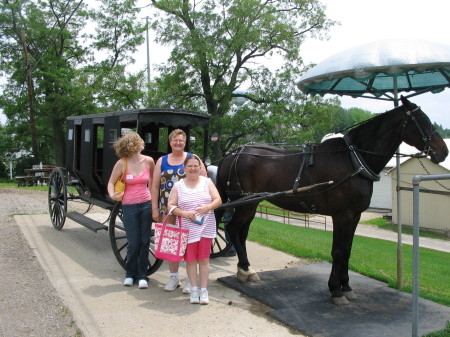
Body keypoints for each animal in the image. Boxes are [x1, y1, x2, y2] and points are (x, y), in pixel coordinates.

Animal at [216, 95, 448, 304]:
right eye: (422, 121)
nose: (443, 152)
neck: (352, 159)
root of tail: (232, 154)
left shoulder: (354, 216)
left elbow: (347, 251)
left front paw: (345, 287)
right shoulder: (341, 215)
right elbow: (338, 251)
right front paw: (336, 290)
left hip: (251, 204)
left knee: (241, 233)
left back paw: (246, 269)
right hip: (245, 204)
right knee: (234, 230)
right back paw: (244, 269)